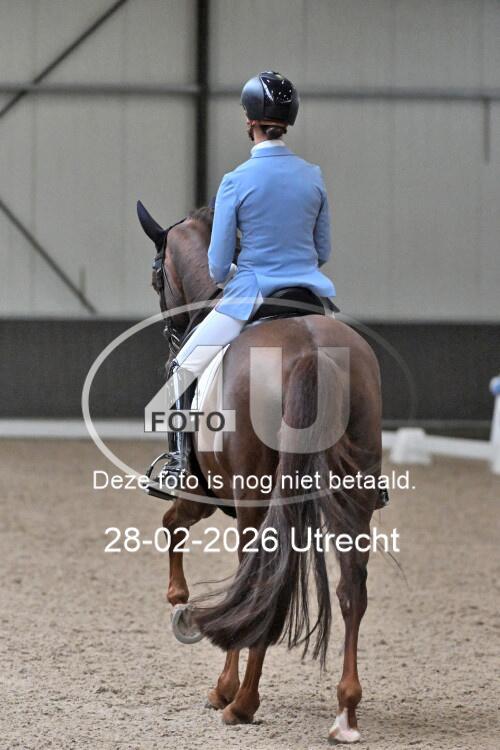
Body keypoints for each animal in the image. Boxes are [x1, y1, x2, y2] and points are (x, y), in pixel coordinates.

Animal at [137, 201, 384, 743]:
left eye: (156, 276)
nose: (169, 335)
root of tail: (310, 350)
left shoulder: (206, 493)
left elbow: (170, 523)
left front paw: (181, 604)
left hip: (254, 502)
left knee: (258, 579)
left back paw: (238, 699)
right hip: (353, 496)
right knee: (352, 591)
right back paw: (346, 712)